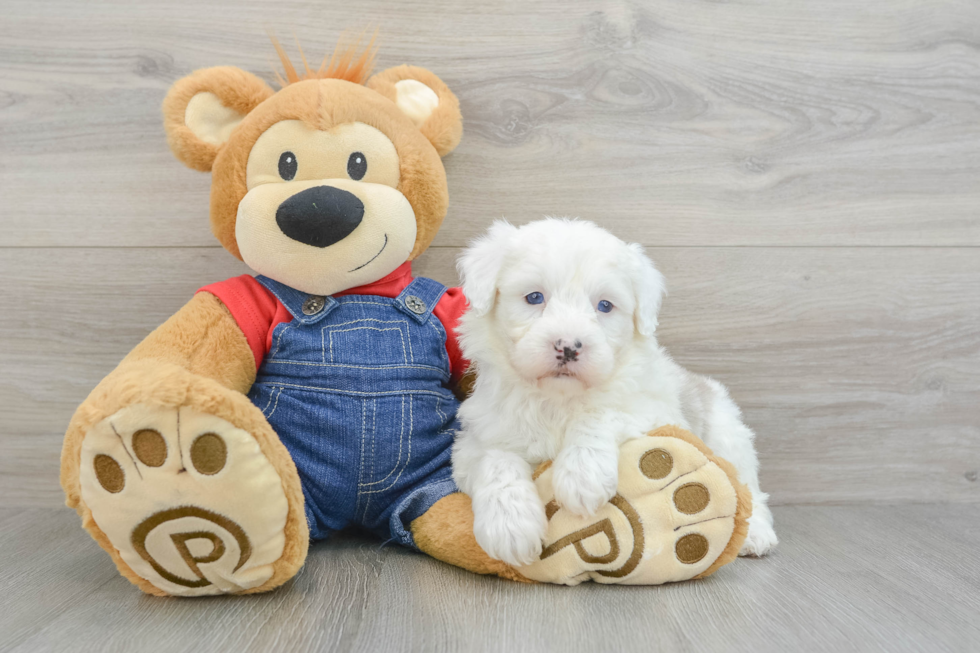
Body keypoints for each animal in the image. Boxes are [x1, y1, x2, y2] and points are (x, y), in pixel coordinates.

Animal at [454, 219, 780, 564]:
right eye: (534, 297)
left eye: (605, 306)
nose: (568, 346)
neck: (559, 398)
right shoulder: (477, 439)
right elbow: (495, 461)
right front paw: (510, 527)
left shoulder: (654, 411)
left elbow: (604, 412)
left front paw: (582, 474)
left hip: (728, 434)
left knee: (748, 488)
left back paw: (755, 535)